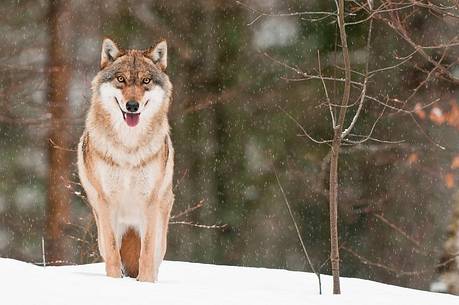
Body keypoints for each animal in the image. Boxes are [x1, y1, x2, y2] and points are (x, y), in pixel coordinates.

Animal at [77, 38, 174, 282]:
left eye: (146, 80)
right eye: (120, 79)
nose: (132, 106)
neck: (129, 148)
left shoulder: (150, 201)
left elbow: (146, 254)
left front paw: (146, 283)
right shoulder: (105, 202)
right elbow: (113, 253)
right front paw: (114, 282)